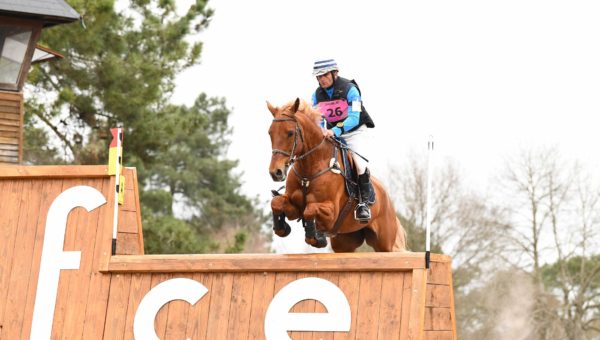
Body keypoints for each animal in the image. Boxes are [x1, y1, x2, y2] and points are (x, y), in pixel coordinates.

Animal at [268, 97, 406, 251]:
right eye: (270, 133)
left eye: (290, 133)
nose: (275, 172)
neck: (309, 171)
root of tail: (387, 198)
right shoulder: (294, 207)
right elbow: (276, 202)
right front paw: (281, 227)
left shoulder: (331, 212)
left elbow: (310, 209)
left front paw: (316, 237)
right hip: (344, 242)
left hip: (384, 244)